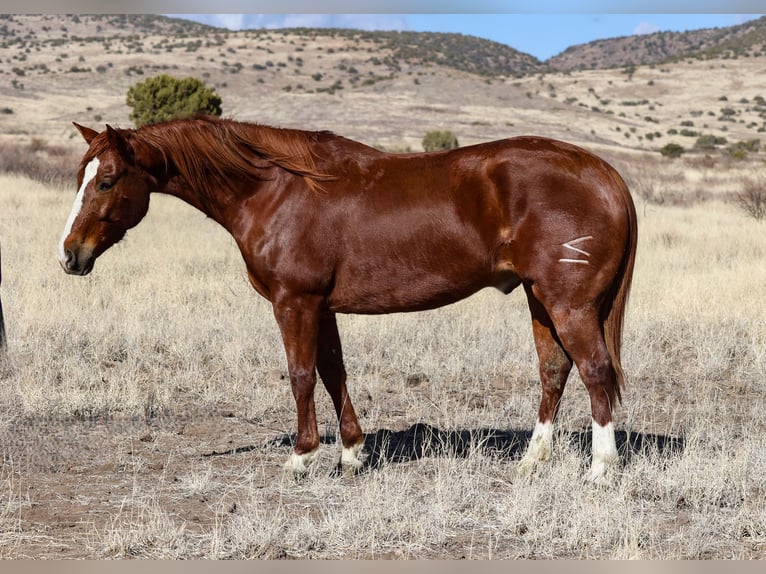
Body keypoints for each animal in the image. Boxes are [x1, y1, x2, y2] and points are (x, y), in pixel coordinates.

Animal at [57, 115, 640, 484]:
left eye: (107, 181)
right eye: (81, 176)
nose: (69, 255)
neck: (276, 190)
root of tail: (605, 174)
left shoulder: (294, 303)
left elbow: (301, 375)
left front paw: (301, 457)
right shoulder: (323, 307)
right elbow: (334, 371)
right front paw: (352, 454)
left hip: (568, 305)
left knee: (594, 371)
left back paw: (600, 469)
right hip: (541, 301)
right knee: (554, 371)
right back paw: (532, 460)